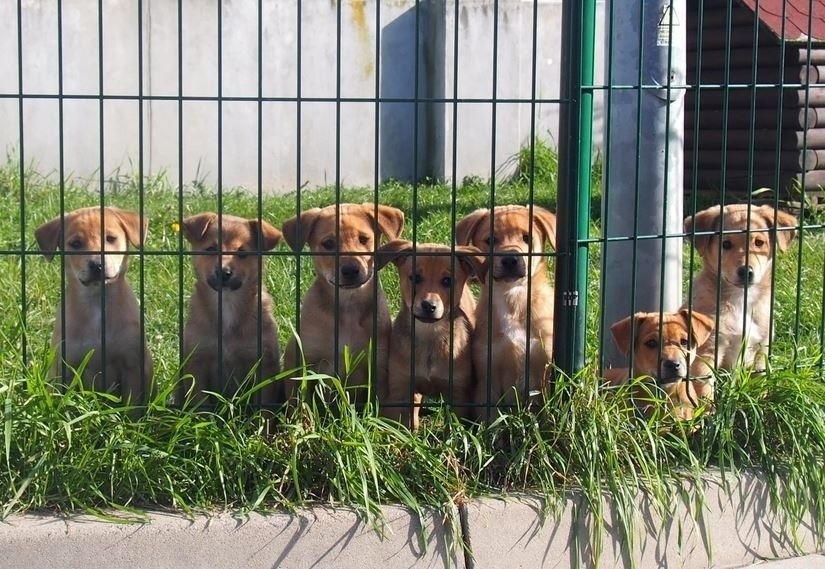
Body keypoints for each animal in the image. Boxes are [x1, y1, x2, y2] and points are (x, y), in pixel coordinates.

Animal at [35, 206, 153, 402]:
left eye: (110, 238)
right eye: (76, 244)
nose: (97, 265)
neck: (97, 303)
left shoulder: (132, 366)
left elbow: (133, 404)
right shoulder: (63, 368)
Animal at [180, 212, 284, 404]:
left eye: (242, 253)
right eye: (211, 249)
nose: (223, 272)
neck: (227, 303)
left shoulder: (263, 364)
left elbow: (264, 404)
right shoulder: (198, 363)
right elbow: (200, 402)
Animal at [282, 202, 404, 402]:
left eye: (364, 239)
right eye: (328, 244)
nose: (350, 270)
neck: (347, 307)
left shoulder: (378, 367)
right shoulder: (302, 362)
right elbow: (299, 403)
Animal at [374, 241, 482, 430]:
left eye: (447, 281)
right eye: (415, 278)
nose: (428, 306)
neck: (430, 335)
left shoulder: (458, 392)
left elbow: (452, 428)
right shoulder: (401, 388)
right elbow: (404, 425)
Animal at [680, 203, 796, 368]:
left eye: (759, 242)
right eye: (726, 244)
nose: (746, 271)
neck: (742, 299)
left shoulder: (762, 348)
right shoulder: (708, 350)